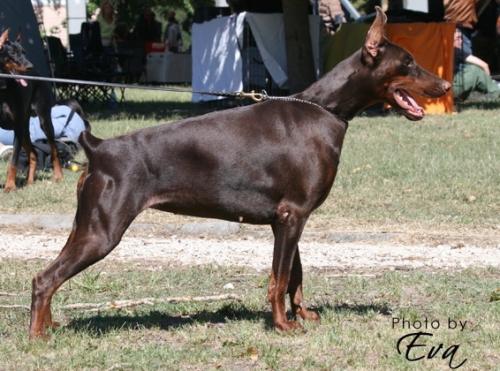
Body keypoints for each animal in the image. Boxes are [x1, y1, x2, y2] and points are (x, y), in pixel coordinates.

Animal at [0, 29, 63, 192]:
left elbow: (13, 161)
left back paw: (58, 175)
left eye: (24, 51)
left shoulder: (16, 127)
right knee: (33, 153)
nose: (29, 65)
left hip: (43, 120)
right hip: (24, 127)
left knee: (54, 149)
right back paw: (29, 182)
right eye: (13, 53)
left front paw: (10, 186)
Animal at [29, 7, 452, 338]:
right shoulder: (292, 214)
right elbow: (279, 278)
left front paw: (303, 315)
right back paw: (38, 337)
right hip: (102, 230)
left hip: (85, 225)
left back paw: (50, 327)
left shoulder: (289, 218)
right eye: (408, 62)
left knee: (48, 274)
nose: (446, 84)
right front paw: (283, 326)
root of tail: (98, 147)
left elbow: (295, 276)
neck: (326, 111)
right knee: (44, 278)